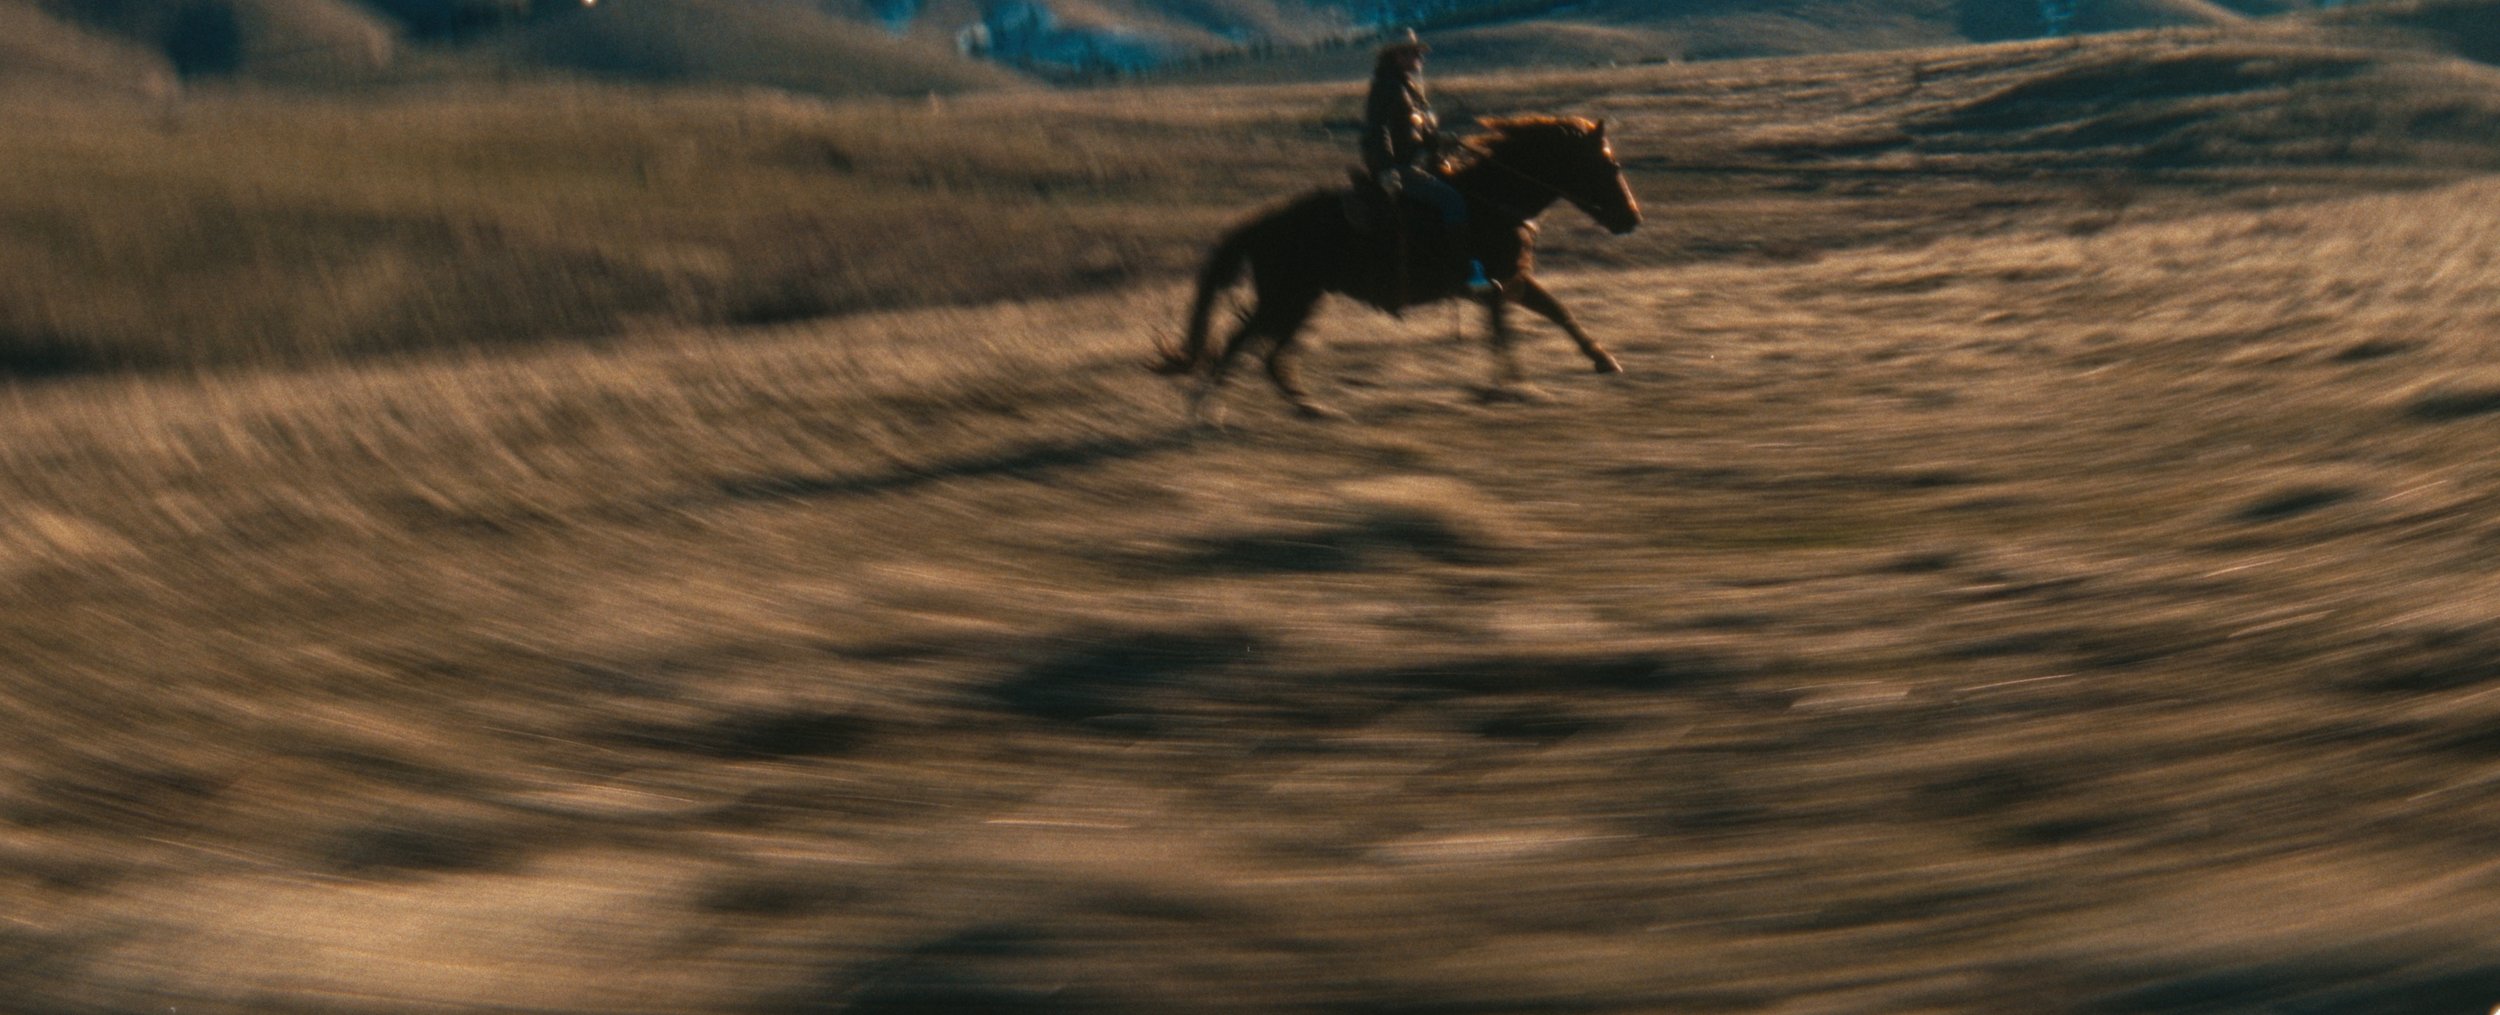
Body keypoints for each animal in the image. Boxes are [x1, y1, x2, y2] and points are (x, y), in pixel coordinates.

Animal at [1151, 115, 1642, 420]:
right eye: (1610, 164)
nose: (1632, 219)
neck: (1494, 197)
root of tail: (1260, 225)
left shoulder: (1511, 282)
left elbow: (1556, 313)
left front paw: (1603, 362)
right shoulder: (1499, 284)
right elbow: (1506, 331)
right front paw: (1514, 387)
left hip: (1298, 303)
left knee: (1268, 356)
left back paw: (1311, 409)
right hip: (1288, 301)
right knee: (1239, 346)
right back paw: (1205, 413)